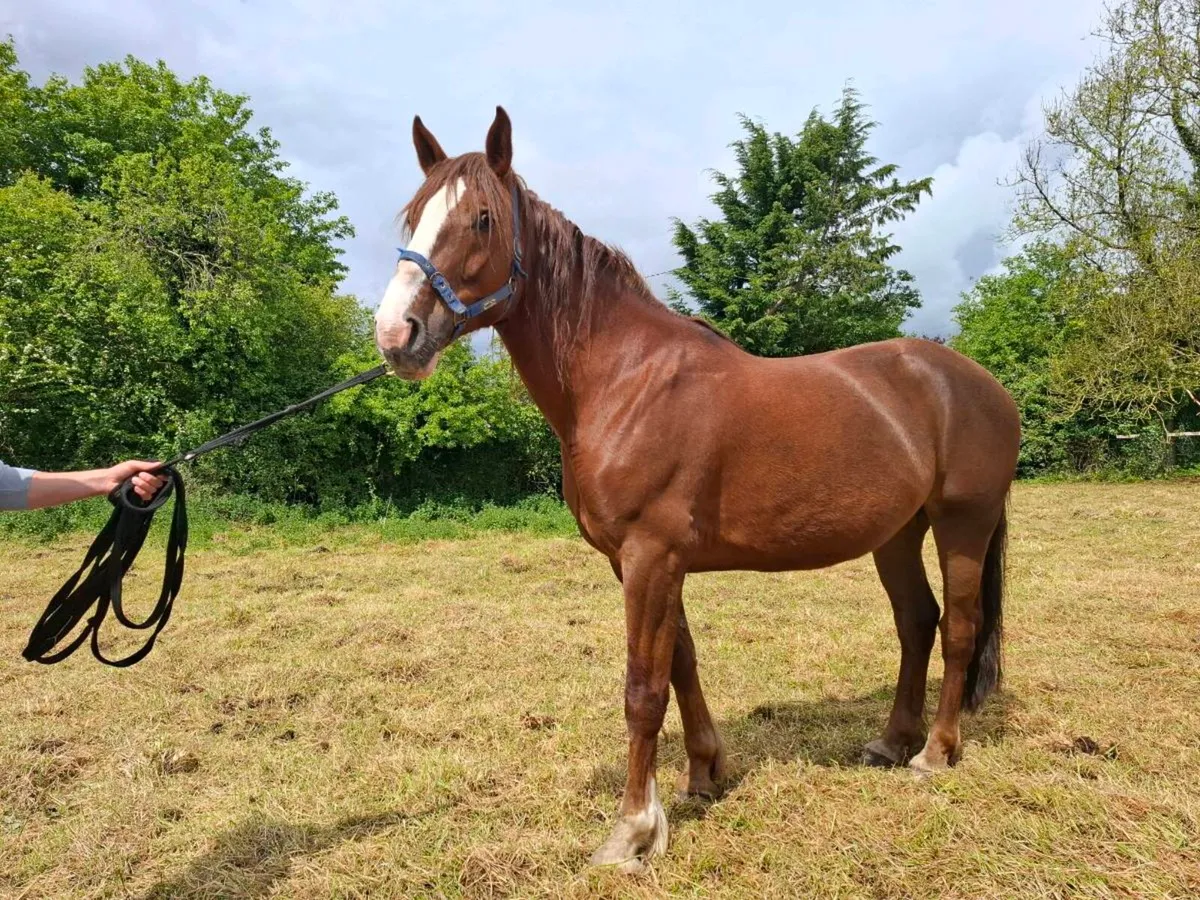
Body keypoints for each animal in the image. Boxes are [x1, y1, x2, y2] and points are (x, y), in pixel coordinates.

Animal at [373, 106, 1021, 873]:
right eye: (412, 215)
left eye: (480, 219)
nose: (396, 333)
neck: (625, 380)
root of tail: (982, 384)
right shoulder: (644, 561)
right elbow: (681, 663)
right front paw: (703, 775)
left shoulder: (651, 557)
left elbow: (643, 688)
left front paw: (630, 831)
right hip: (897, 534)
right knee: (916, 622)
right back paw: (892, 742)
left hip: (962, 524)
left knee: (959, 629)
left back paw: (935, 753)